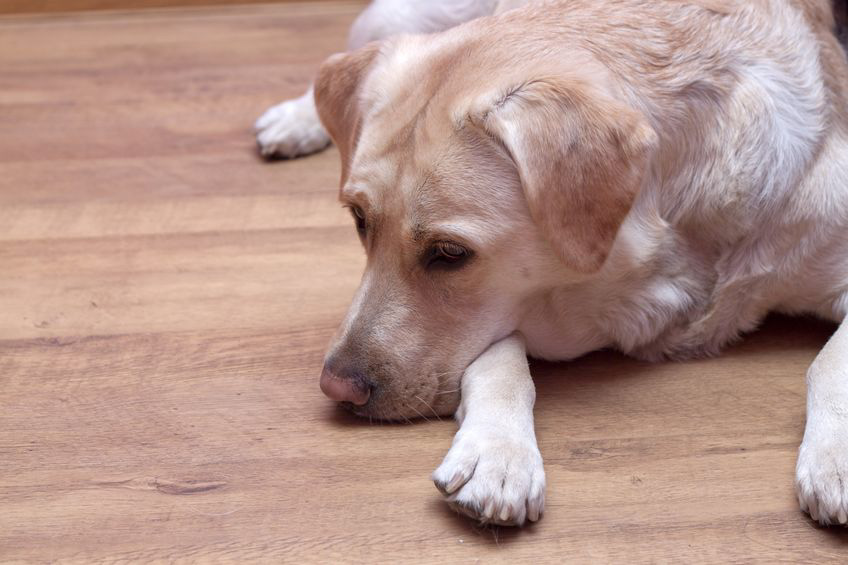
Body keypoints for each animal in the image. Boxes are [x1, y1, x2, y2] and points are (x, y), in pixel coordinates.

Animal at [255, 0, 848, 528]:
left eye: (449, 254)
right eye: (359, 220)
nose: (337, 388)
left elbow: (828, 364)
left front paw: (835, 458)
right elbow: (499, 358)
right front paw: (498, 454)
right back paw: (294, 120)